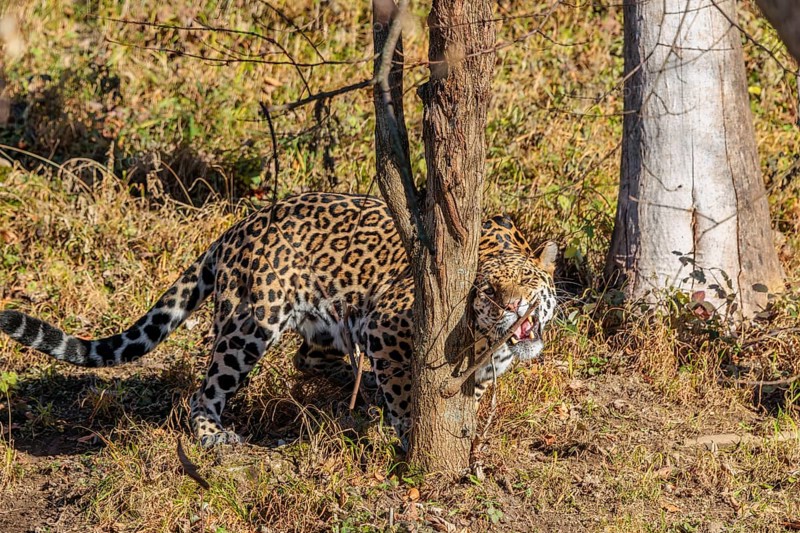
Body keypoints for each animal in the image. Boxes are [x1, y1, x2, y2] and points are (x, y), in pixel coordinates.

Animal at [0, 192, 558, 449]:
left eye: (527, 282)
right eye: (489, 291)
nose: (515, 308)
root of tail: (239, 225)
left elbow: (468, 398)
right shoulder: (389, 325)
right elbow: (405, 391)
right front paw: (407, 433)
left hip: (329, 320)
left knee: (308, 358)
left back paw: (351, 387)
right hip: (250, 322)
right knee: (204, 391)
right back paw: (213, 436)